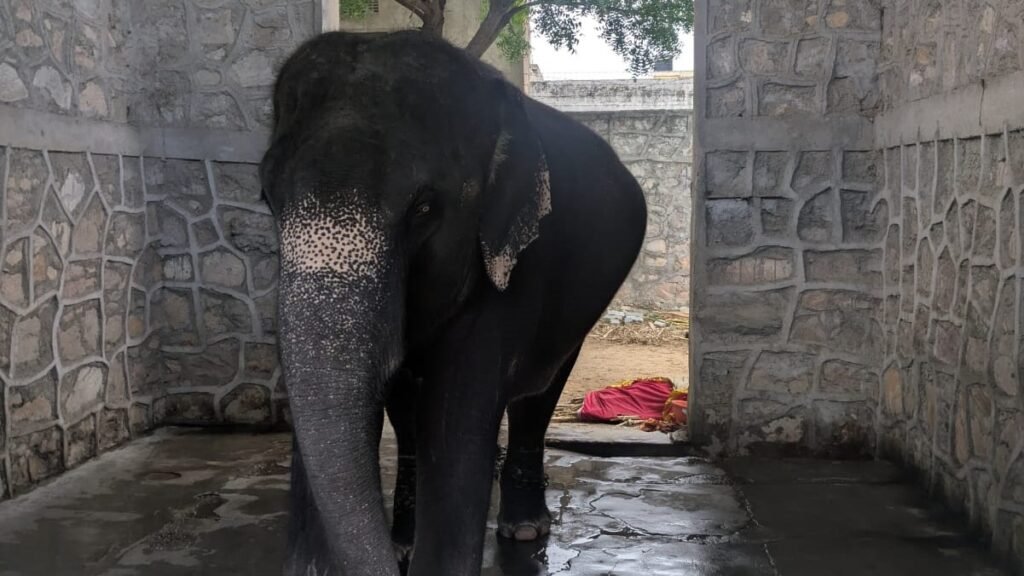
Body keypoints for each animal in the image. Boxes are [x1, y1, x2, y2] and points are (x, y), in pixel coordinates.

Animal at [259, 30, 648, 576]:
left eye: (423, 208)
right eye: (266, 199)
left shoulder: (510, 267)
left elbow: (456, 421)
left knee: (541, 388)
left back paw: (523, 529)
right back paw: (406, 539)